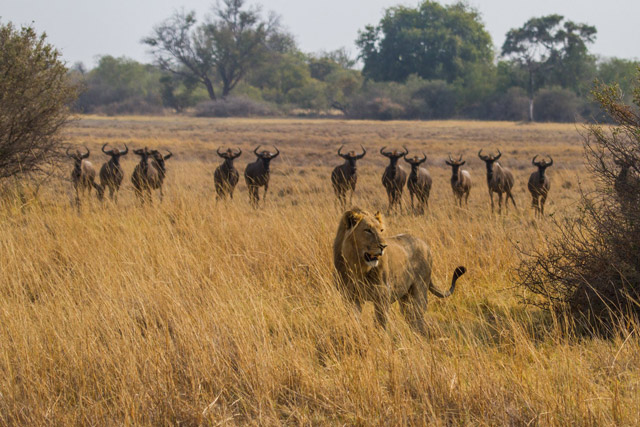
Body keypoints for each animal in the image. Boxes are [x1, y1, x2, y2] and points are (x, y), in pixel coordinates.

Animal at [333, 207, 466, 334]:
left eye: (381, 230)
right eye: (367, 230)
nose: (383, 246)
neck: (358, 267)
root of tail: (426, 245)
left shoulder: (383, 296)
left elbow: (380, 324)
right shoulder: (350, 298)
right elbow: (354, 320)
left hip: (420, 291)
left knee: (418, 319)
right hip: (405, 297)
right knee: (411, 318)